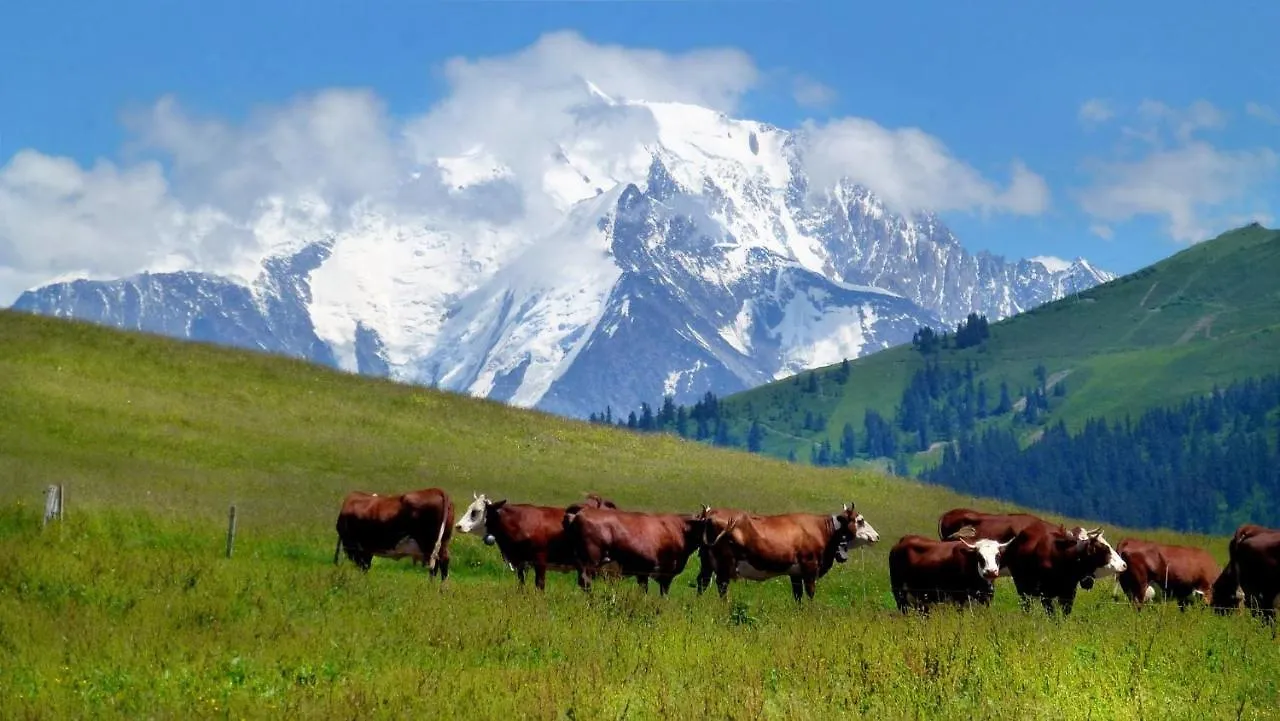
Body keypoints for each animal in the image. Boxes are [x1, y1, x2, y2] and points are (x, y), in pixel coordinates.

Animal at [455, 491, 619, 591]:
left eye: (476, 512)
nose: (458, 526)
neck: (519, 521)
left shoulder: (540, 560)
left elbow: (539, 585)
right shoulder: (521, 562)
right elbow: (521, 584)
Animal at [563, 504, 706, 594]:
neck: (680, 529)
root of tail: (580, 512)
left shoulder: (643, 573)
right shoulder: (665, 573)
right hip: (590, 561)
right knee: (586, 582)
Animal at [691, 504, 880, 601]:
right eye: (860, 520)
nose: (877, 536)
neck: (824, 531)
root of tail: (710, 513)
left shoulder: (795, 573)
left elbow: (798, 596)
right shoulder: (810, 567)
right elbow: (810, 593)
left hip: (707, 562)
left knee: (702, 582)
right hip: (724, 562)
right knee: (721, 585)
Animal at [993, 522, 1126, 617]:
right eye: (1104, 548)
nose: (1124, 565)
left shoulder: (1068, 594)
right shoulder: (1045, 595)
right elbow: (1052, 615)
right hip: (1021, 586)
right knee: (1026, 605)